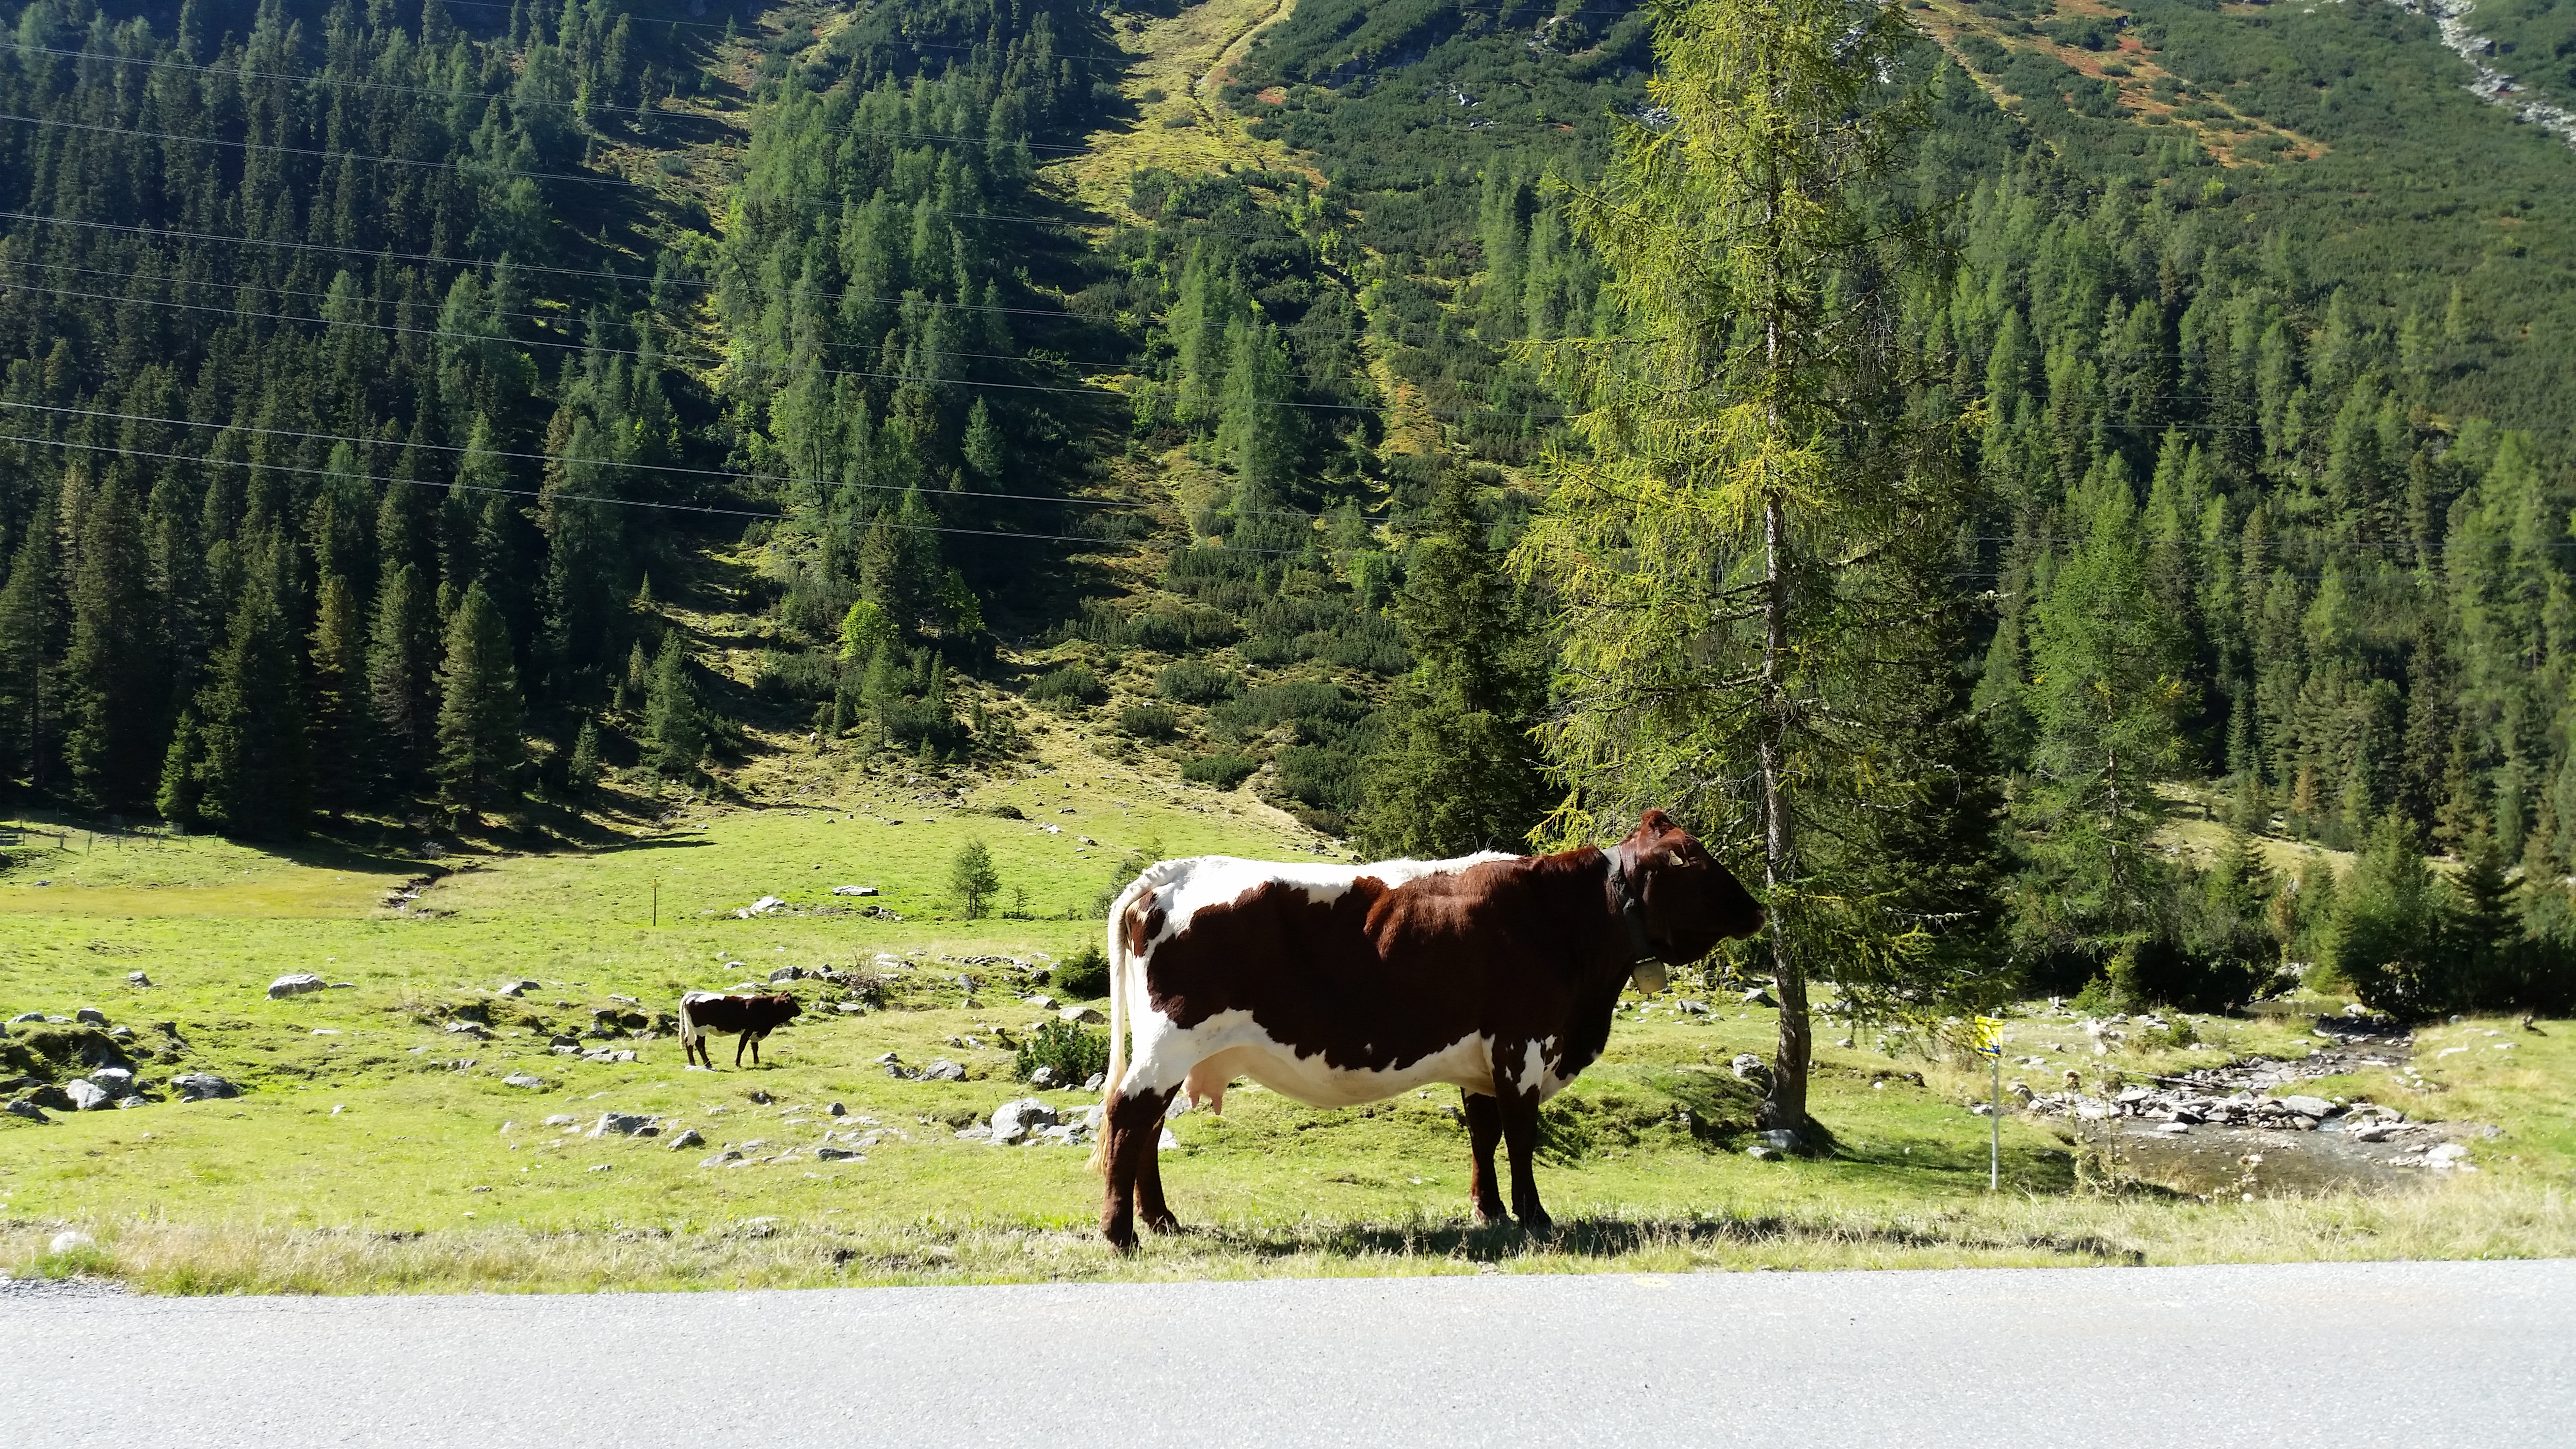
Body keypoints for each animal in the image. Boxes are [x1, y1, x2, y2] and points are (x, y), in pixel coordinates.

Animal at [680, 984, 798, 1067]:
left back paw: (692, 1063)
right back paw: (708, 1064)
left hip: (690, 1027)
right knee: (699, 1045)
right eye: (792, 1003)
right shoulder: (748, 1031)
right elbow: (741, 1047)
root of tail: (693, 994)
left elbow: (755, 1048)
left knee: (689, 1042)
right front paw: (738, 1063)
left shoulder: (755, 1033)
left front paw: (756, 1062)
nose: (800, 1011)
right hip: (700, 1029)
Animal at [1087, 804, 1772, 1248]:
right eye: (1694, 858)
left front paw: (1489, 1211)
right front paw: (1534, 1215)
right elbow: (1521, 1133)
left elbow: (1483, 1133)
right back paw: (1120, 1235)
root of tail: (1170, 874)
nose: (1758, 909)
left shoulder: (1481, 1057)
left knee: (1147, 1128)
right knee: (1128, 1116)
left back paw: (1161, 1221)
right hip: (1169, 1044)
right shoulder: (1522, 1043)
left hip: (1171, 1052)